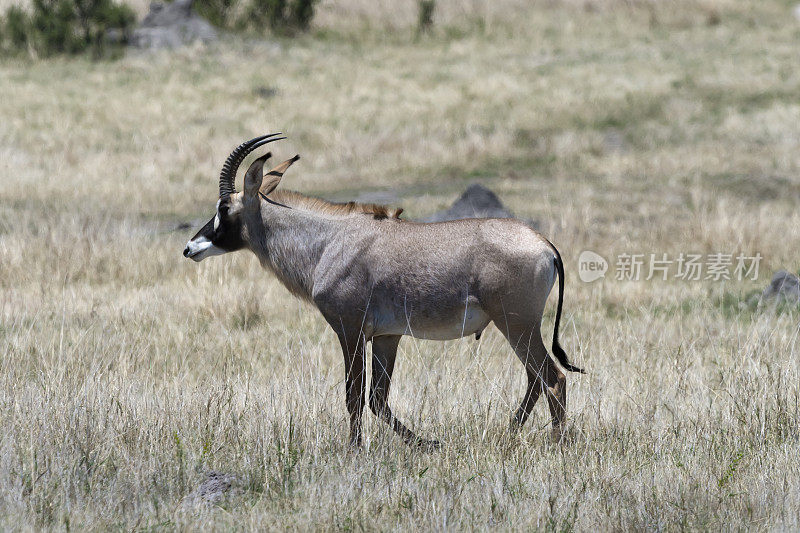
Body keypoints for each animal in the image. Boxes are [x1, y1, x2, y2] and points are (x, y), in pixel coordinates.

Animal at [184, 132, 584, 444]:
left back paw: (554, 443)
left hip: (516, 324)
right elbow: (377, 397)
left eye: (223, 206)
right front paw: (428, 444)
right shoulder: (387, 336)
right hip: (517, 328)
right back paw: (510, 433)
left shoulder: (349, 330)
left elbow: (353, 395)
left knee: (552, 378)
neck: (330, 241)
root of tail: (544, 245)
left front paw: (353, 450)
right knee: (537, 378)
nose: (190, 248)